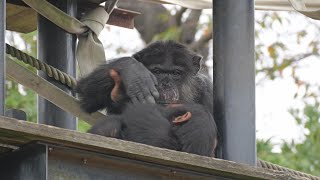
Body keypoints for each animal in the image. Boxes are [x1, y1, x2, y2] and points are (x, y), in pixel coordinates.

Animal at [75, 40, 218, 156]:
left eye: (176, 73)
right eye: (157, 71)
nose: (166, 84)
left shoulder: (208, 92)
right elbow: (87, 96)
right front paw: (133, 70)